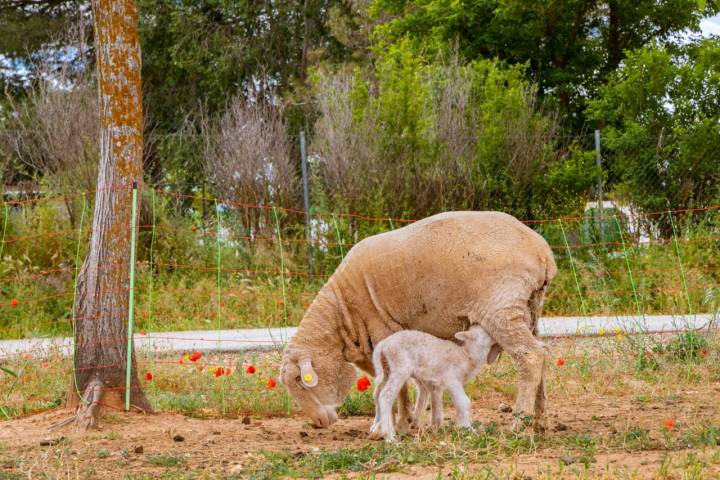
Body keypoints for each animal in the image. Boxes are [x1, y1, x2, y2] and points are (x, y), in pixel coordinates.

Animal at [368, 326, 498, 442]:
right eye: (485, 332)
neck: (467, 357)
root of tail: (382, 346)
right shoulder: (451, 379)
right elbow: (464, 402)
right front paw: (468, 428)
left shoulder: (439, 382)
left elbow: (443, 403)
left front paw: (456, 426)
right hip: (399, 367)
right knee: (386, 396)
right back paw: (389, 437)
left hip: (386, 370)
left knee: (377, 394)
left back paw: (377, 428)